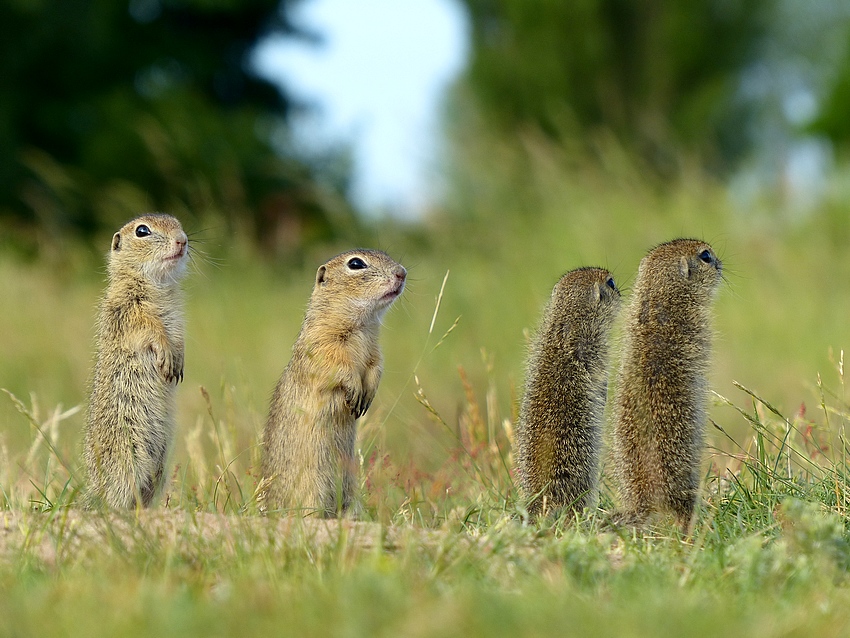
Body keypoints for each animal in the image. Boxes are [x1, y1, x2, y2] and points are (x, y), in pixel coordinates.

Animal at [83, 213, 189, 508]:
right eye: (143, 231)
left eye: (178, 223)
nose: (183, 240)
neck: (158, 285)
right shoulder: (130, 311)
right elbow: (151, 330)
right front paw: (165, 354)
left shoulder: (177, 318)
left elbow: (178, 338)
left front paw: (178, 362)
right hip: (128, 459)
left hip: (158, 468)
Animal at [259, 249, 406, 517]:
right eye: (356, 264)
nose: (402, 273)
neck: (362, 326)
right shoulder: (323, 347)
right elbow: (340, 368)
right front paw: (355, 390)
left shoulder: (376, 353)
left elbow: (376, 369)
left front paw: (367, 396)